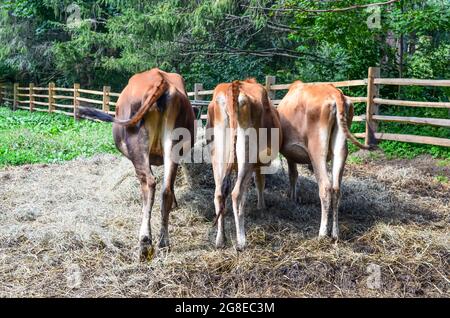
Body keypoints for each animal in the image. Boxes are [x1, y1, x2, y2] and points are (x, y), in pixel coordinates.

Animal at [76, 68, 195, 260]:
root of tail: (160, 79)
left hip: (137, 146)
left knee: (149, 182)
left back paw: (145, 241)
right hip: (173, 145)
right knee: (166, 189)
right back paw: (164, 242)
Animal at [207, 78, 282, 250]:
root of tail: (234, 85)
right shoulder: (259, 164)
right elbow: (259, 183)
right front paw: (261, 206)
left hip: (218, 155)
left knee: (219, 194)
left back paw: (220, 239)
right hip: (247, 157)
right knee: (236, 193)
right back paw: (241, 240)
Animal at [278, 80, 372, 240]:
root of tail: (335, 92)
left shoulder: (290, 154)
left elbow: (293, 175)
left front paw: (292, 197)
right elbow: (294, 175)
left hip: (317, 150)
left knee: (326, 187)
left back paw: (322, 232)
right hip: (340, 149)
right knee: (336, 189)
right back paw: (335, 232)